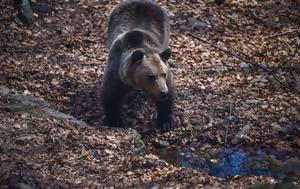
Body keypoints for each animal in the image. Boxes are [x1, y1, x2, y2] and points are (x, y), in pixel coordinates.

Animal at [101, 0, 176, 132]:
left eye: (163, 74)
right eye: (151, 76)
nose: (163, 92)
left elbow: (169, 91)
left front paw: (166, 122)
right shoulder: (116, 73)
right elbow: (111, 96)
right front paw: (115, 120)